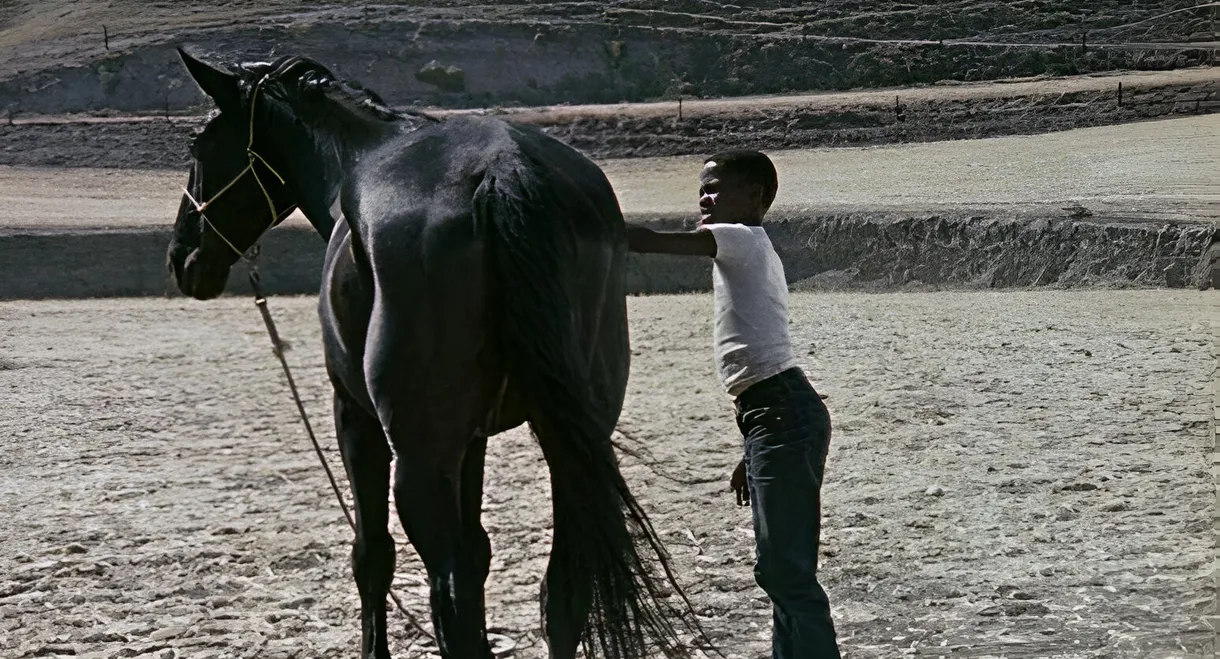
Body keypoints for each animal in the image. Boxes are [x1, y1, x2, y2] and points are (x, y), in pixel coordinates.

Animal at [165, 49, 709, 659]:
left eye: (200, 146)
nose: (181, 256)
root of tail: (503, 169)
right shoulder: (470, 442)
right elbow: (480, 550)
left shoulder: (355, 420)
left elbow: (373, 556)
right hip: (573, 439)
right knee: (561, 586)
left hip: (419, 460)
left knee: (450, 591)